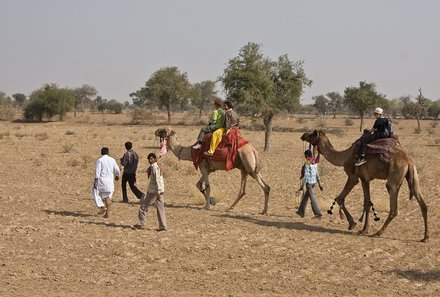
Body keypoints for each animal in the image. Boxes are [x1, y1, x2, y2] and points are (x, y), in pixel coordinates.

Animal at [300, 131, 428, 242]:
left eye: (312, 134)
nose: (303, 135)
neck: (345, 156)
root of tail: (408, 160)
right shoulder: (366, 179)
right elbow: (367, 202)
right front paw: (363, 228)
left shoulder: (356, 177)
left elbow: (341, 198)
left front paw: (354, 224)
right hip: (414, 176)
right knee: (423, 203)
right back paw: (425, 237)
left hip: (394, 177)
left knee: (393, 207)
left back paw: (378, 232)